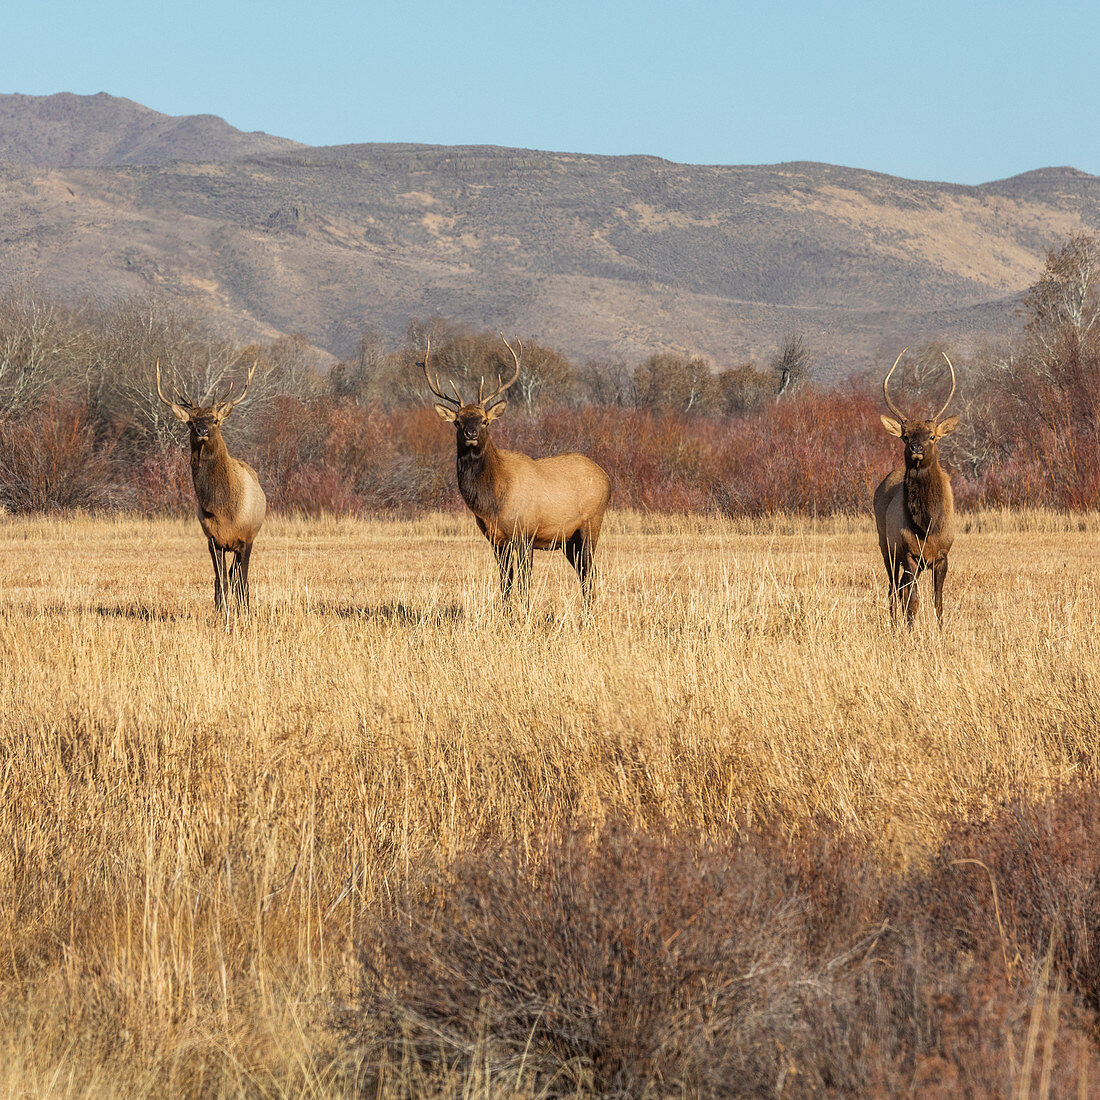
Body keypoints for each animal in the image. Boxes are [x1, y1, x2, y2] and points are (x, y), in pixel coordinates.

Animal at [156, 365, 267, 616]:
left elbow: (241, 580)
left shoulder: (246, 538)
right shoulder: (212, 539)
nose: (202, 429)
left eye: (215, 419)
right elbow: (221, 580)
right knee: (224, 577)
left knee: (238, 577)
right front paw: (221, 610)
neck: (225, 510)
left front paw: (244, 612)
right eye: (190, 421)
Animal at [422, 334, 611, 611]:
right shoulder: (497, 539)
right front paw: (506, 612)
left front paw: (524, 611)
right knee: (583, 570)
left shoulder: (524, 532)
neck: (493, 500)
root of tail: (607, 478)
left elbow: (523, 580)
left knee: (589, 570)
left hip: (591, 523)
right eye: (457, 421)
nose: (470, 433)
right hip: (568, 539)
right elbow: (506, 580)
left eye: (485, 420)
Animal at [871, 349, 959, 629]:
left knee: (900, 588)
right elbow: (914, 600)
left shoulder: (942, 555)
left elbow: (938, 601)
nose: (916, 448)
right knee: (893, 587)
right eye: (905, 435)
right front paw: (910, 630)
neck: (927, 525)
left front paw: (941, 630)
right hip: (885, 546)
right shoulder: (909, 553)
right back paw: (893, 624)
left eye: (932, 435)